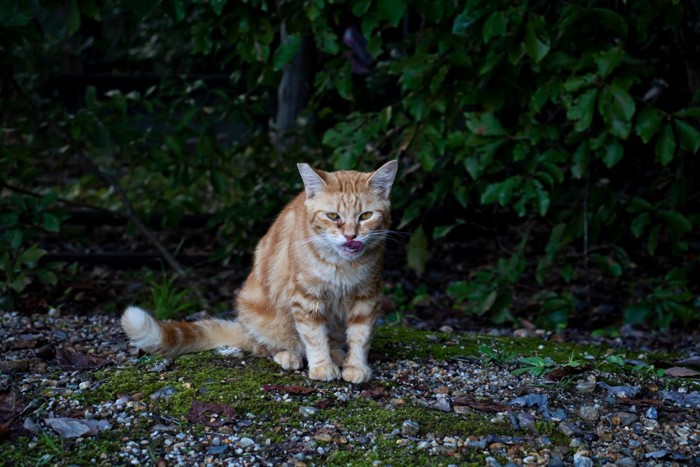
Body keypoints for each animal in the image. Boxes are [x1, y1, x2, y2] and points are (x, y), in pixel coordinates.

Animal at [121, 161, 400, 384]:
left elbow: (360, 336)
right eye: (333, 216)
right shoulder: (305, 298)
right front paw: (322, 366)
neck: (343, 265)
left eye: (365, 215)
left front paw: (356, 366)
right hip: (261, 314)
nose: (351, 236)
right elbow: (313, 336)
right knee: (265, 346)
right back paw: (290, 354)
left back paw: (338, 354)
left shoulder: (367, 296)